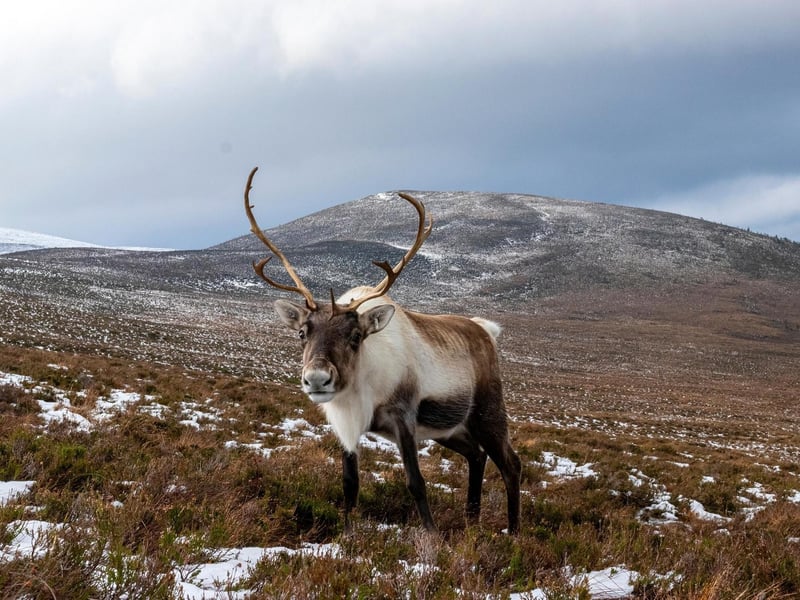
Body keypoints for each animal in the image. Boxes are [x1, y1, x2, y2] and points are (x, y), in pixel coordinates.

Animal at [243, 167, 521, 534]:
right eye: (302, 333)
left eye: (356, 336)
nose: (317, 379)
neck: (363, 385)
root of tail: (486, 330)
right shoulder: (346, 425)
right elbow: (350, 483)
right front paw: (347, 534)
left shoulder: (403, 419)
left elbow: (416, 483)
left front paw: (432, 537)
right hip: (448, 429)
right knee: (476, 455)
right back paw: (471, 523)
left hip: (487, 413)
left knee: (511, 464)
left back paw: (513, 532)